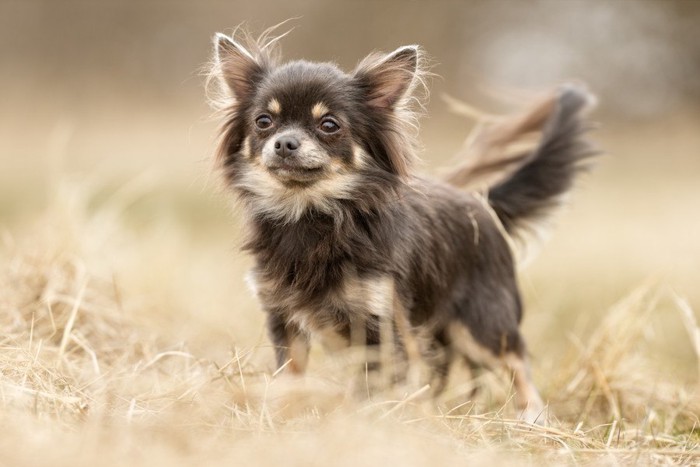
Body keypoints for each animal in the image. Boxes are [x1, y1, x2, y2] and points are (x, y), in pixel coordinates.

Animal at [209, 30, 596, 424]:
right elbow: (292, 375)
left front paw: (361, 422)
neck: (311, 215)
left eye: (329, 125)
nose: (285, 142)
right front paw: (284, 417)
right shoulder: (284, 320)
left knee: (516, 361)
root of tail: (480, 202)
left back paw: (532, 417)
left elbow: (370, 388)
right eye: (263, 122)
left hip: (482, 323)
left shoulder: (380, 325)